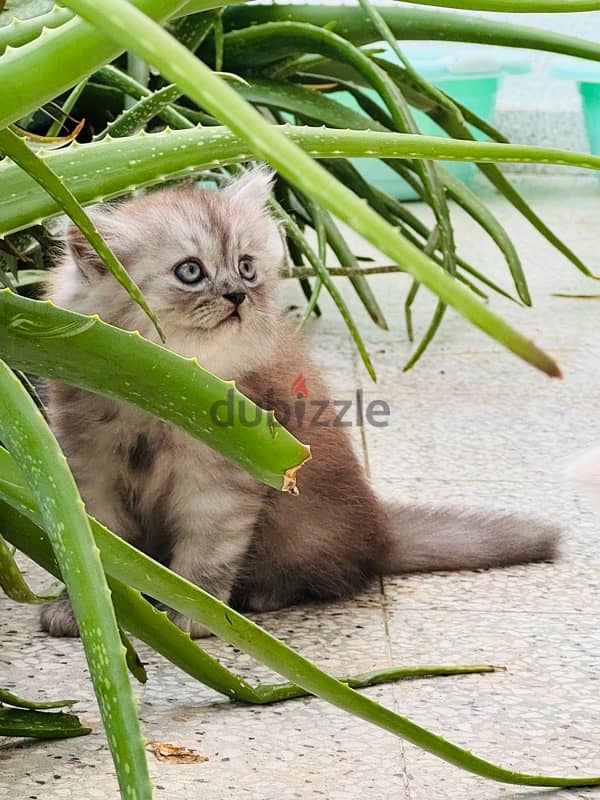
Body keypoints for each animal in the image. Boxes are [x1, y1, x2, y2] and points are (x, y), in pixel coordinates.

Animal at [39, 169, 560, 636]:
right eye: (190, 271)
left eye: (246, 267)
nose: (237, 295)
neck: (157, 382)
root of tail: (383, 532)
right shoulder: (88, 471)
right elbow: (94, 553)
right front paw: (82, 611)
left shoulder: (219, 485)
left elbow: (207, 557)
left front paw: (195, 616)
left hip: (302, 529)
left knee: (336, 577)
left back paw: (260, 596)